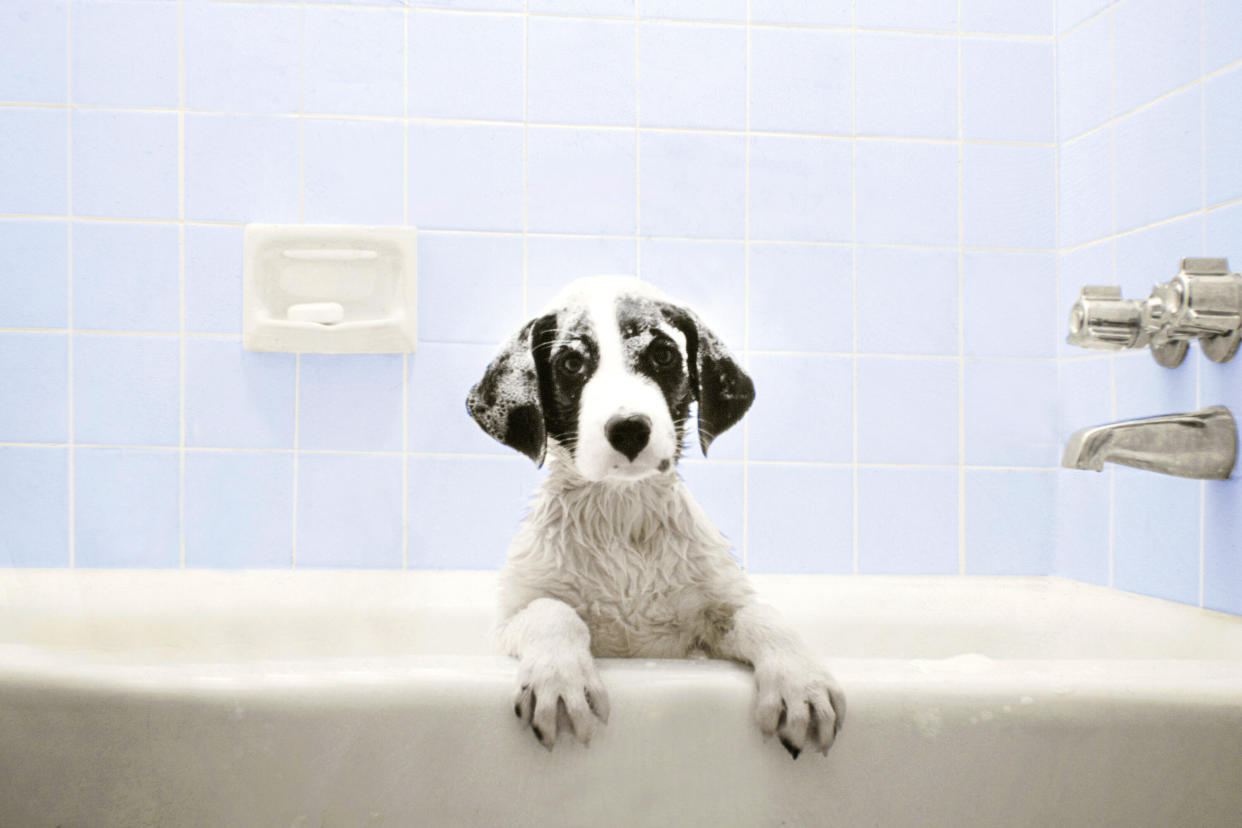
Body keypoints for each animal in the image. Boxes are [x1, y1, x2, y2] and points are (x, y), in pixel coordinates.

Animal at [466, 276, 844, 759]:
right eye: (571, 363)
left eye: (663, 355)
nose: (629, 428)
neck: (622, 517)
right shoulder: (509, 619)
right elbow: (552, 610)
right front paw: (560, 680)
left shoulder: (710, 621)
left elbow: (763, 616)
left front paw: (802, 683)